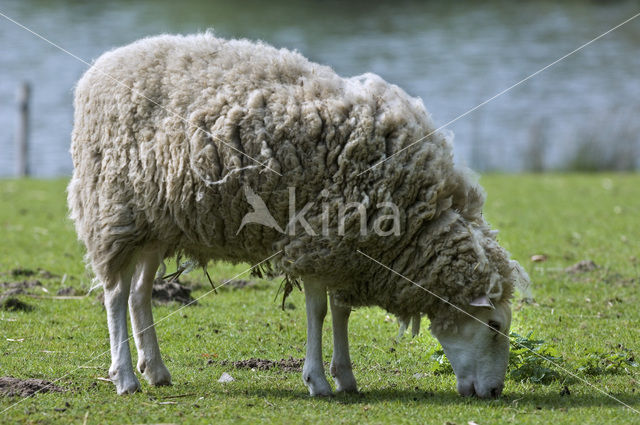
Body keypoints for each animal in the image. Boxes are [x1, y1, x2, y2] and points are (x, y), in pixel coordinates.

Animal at [67, 33, 532, 398]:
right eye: (494, 325)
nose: (495, 392)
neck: (413, 217)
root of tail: (101, 66)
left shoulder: (348, 251)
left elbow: (341, 312)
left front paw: (345, 377)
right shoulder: (319, 237)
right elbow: (319, 312)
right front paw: (319, 381)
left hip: (156, 222)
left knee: (139, 294)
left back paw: (156, 371)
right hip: (115, 210)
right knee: (114, 295)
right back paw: (125, 377)